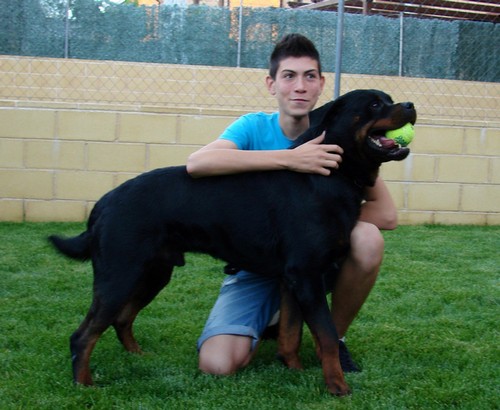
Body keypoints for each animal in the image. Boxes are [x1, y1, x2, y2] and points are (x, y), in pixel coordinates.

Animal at [49, 89, 416, 396]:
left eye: (390, 99)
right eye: (374, 104)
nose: (411, 105)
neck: (334, 173)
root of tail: (103, 203)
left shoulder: (293, 279)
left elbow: (290, 333)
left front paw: (294, 371)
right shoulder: (306, 273)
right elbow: (323, 335)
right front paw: (337, 386)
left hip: (153, 272)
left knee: (122, 319)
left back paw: (139, 356)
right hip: (120, 275)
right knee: (83, 335)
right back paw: (84, 384)